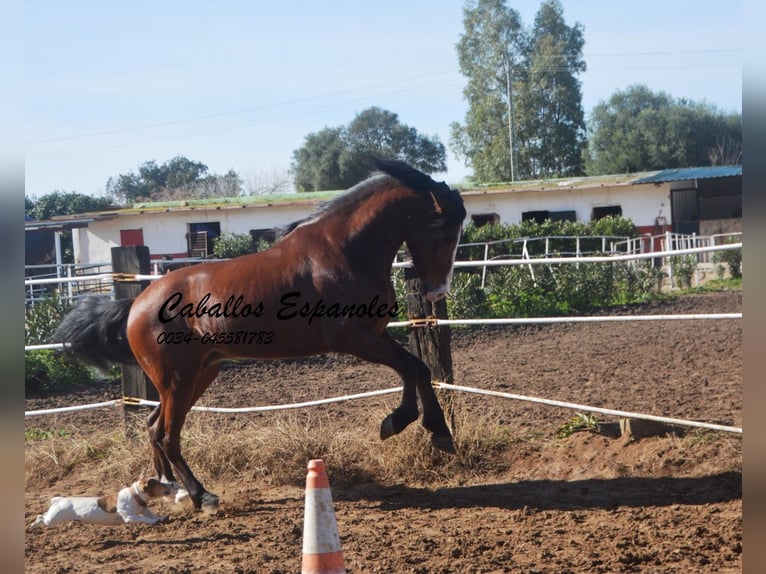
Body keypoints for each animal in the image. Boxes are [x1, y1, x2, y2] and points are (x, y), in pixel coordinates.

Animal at [28, 476, 174, 532]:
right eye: (159, 484)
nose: (172, 484)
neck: (135, 495)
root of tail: (61, 500)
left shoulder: (143, 508)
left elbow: (151, 513)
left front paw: (161, 518)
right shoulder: (130, 517)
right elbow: (146, 519)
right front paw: (154, 521)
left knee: (43, 515)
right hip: (54, 519)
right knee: (41, 518)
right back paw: (32, 525)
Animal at [54, 158, 468, 512]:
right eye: (445, 231)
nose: (436, 291)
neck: (345, 251)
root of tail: (136, 304)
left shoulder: (373, 335)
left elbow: (413, 369)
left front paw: (414, 425)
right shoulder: (352, 338)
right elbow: (413, 367)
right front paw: (425, 428)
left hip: (198, 375)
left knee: (155, 429)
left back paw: (170, 491)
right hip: (177, 380)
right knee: (168, 436)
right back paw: (200, 496)